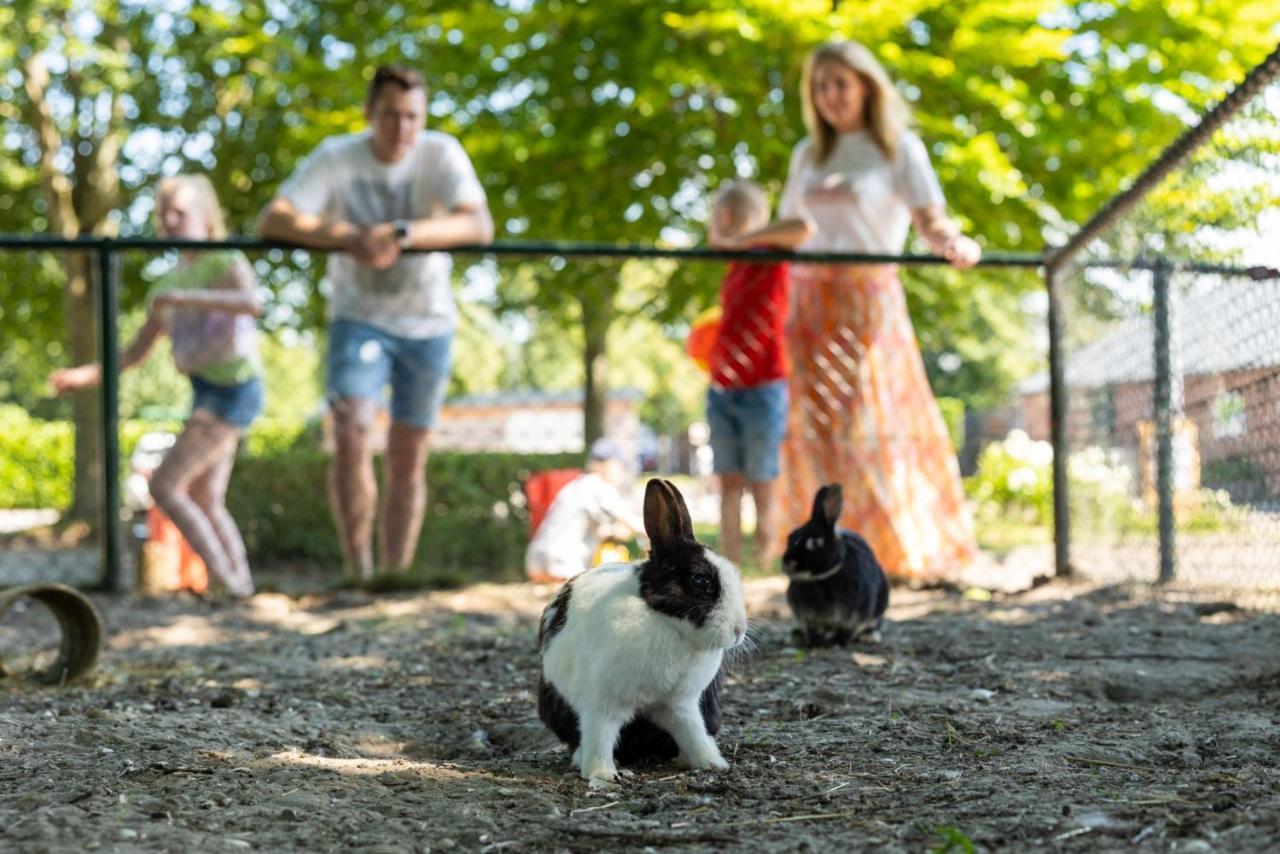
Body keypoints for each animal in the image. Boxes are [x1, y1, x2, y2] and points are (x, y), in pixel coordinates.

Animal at [535, 478, 747, 783]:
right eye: (700, 580)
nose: (738, 631)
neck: (668, 624)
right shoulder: (602, 703)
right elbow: (600, 735)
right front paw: (602, 774)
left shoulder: (680, 704)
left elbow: (692, 732)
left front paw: (712, 762)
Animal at [778, 481, 890, 647]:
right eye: (791, 537)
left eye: (815, 542)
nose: (788, 562)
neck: (819, 579)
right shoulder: (808, 618)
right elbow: (812, 631)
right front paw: (815, 643)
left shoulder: (852, 616)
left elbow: (846, 631)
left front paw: (838, 643)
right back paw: (794, 636)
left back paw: (869, 636)